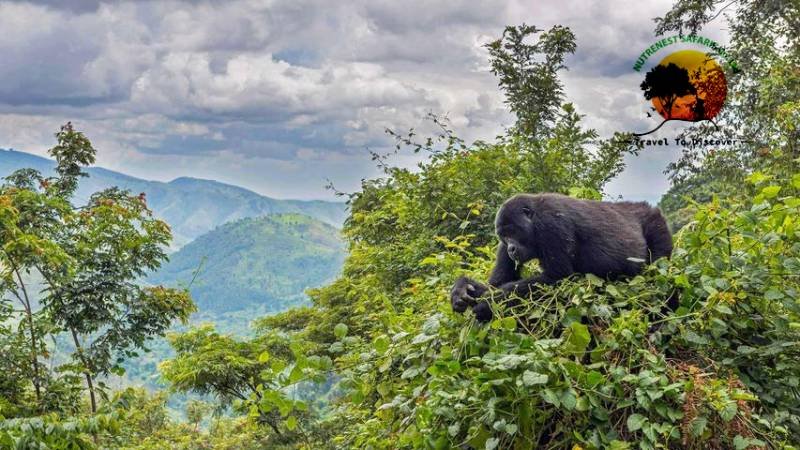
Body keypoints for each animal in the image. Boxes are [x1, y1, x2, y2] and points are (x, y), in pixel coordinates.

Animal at [454, 192, 672, 322]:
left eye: (512, 231)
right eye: (503, 236)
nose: (511, 249)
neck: (533, 218)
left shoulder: (551, 225)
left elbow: (558, 279)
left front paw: (489, 303)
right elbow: (498, 281)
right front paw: (461, 289)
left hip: (656, 225)